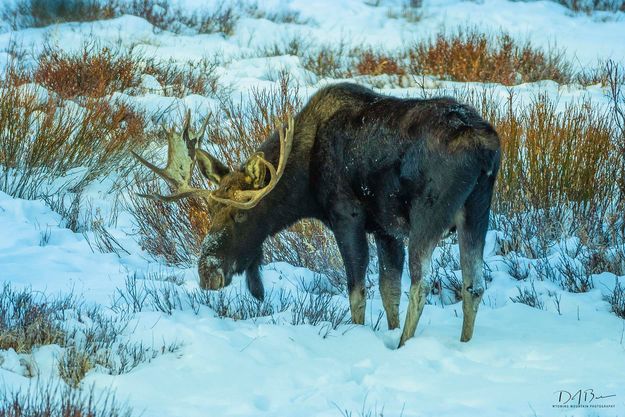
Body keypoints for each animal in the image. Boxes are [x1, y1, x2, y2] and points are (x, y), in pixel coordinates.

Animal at [134, 82, 500, 344]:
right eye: (211, 209)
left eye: (242, 215)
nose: (207, 272)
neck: (304, 183)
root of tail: (484, 148)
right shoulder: (386, 229)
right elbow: (388, 291)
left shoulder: (347, 216)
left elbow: (357, 293)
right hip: (477, 212)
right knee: (474, 285)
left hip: (429, 214)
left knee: (422, 286)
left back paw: (405, 346)